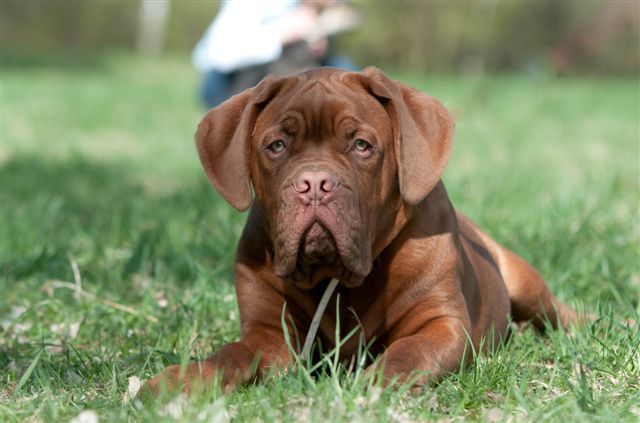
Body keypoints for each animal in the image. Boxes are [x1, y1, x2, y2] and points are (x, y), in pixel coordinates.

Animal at [142, 67, 577, 396]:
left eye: (361, 145)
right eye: (277, 146)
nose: (314, 184)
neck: (338, 279)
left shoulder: (442, 324)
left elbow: (409, 351)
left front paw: (378, 384)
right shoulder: (268, 335)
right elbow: (231, 354)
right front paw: (184, 379)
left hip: (527, 286)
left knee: (558, 311)